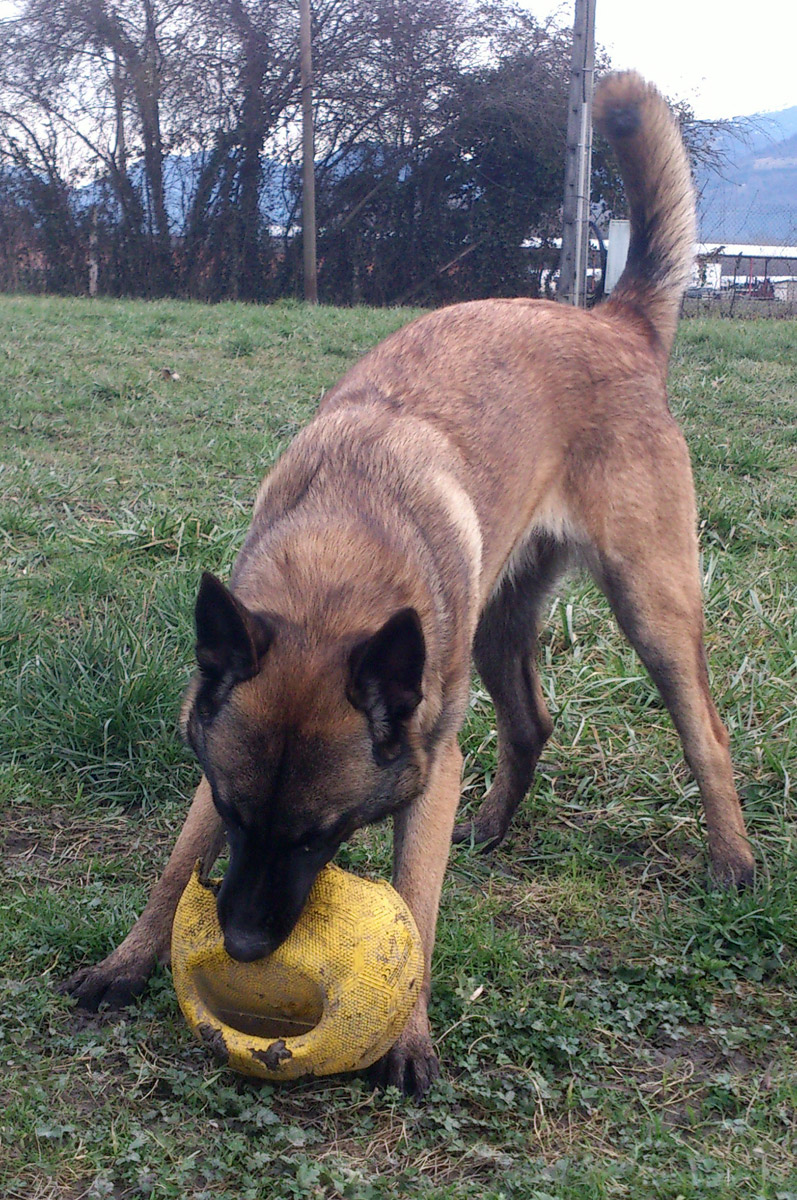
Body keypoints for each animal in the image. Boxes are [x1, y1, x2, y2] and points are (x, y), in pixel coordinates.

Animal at [66, 70, 753, 1094]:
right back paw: (496, 826)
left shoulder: (431, 770)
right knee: (531, 721)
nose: (247, 945)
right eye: (237, 814)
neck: (337, 567)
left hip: (650, 608)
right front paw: (128, 960)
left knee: (702, 731)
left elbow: (417, 908)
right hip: (497, 627)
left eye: (320, 835)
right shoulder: (219, 749)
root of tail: (609, 320)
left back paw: (732, 862)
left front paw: (410, 1037)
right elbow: (176, 863)